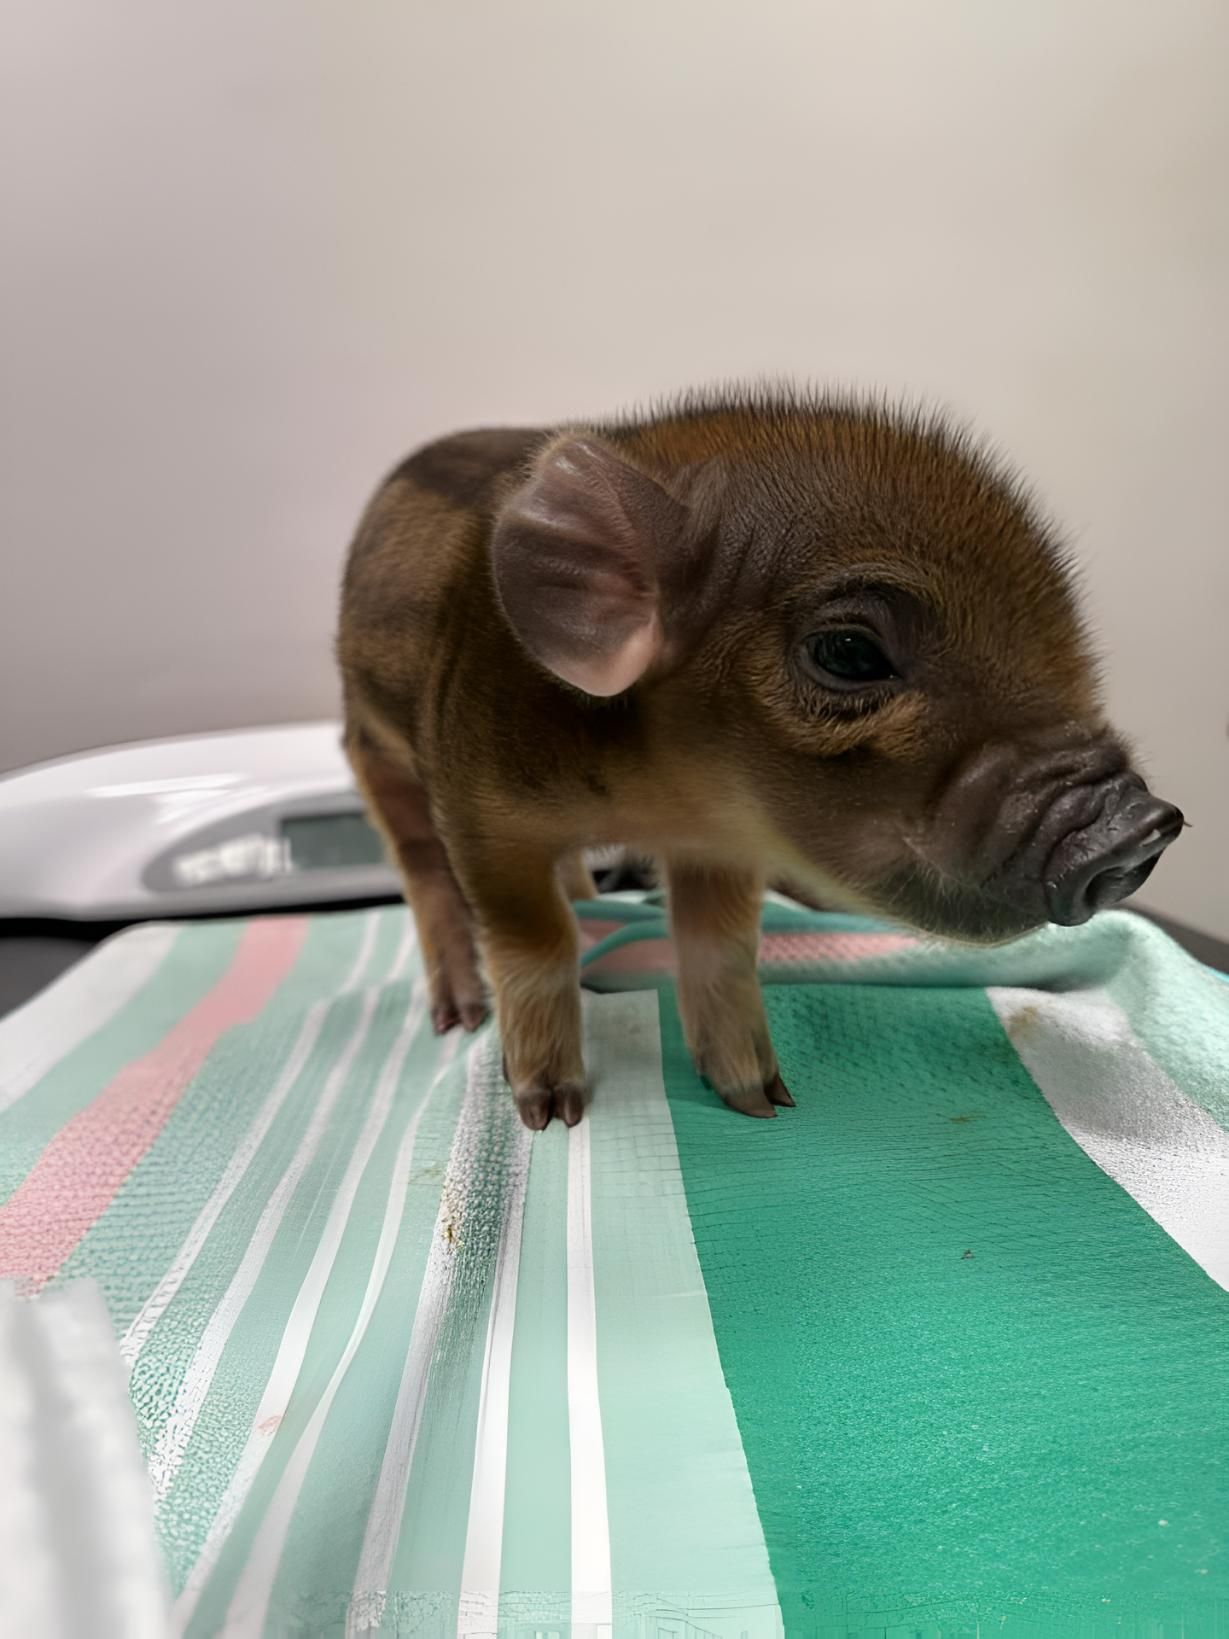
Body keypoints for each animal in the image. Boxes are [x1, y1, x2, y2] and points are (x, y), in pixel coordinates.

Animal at [337, 389, 1183, 1128]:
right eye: (848, 652)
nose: (1143, 824)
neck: (654, 803)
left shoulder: (720, 843)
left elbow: (720, 948)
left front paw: (763, 1101)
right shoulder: (479, 815)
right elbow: (532, 939)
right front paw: (553, 1114)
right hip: (369, 745)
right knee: (420, 867)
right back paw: (458, 1015)